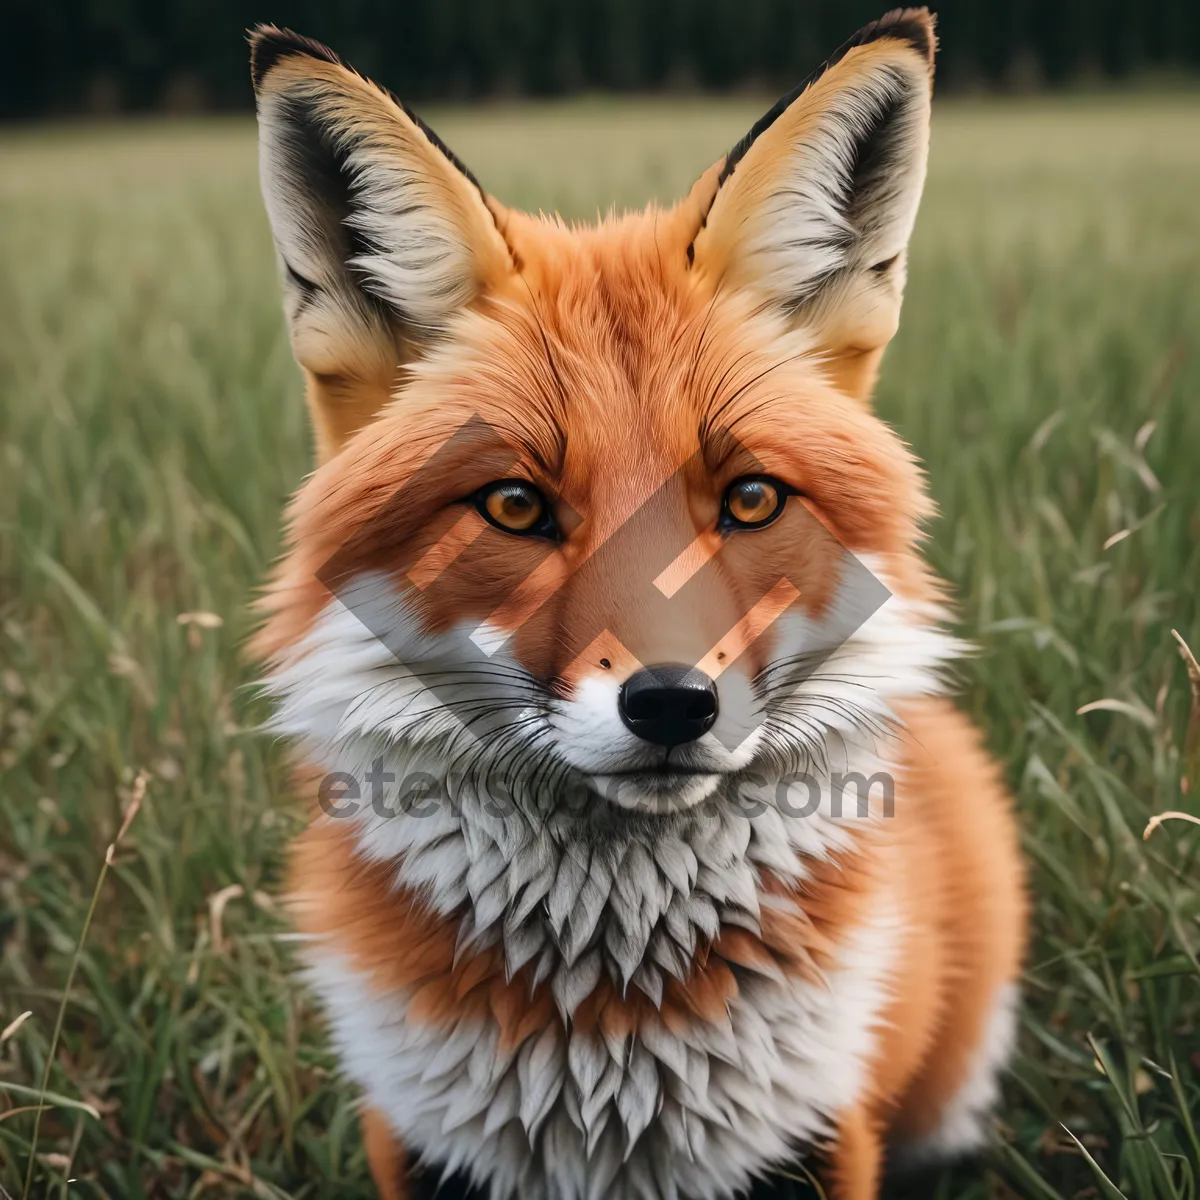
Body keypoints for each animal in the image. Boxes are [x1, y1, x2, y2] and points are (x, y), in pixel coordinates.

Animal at [250, 11, 1022, 1200]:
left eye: (750, 498)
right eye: (515, 505)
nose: (671, 705)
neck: (615, 1040)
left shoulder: (822, 1127)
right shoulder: (415, 1134)